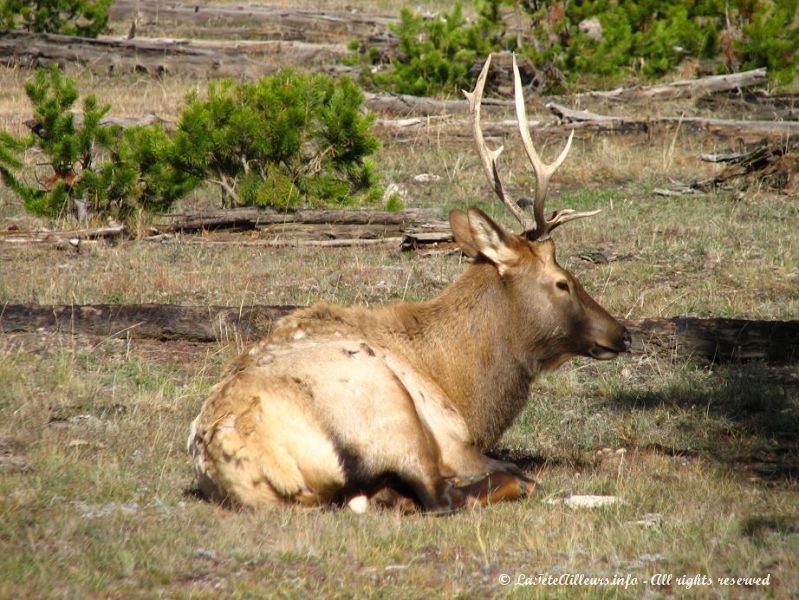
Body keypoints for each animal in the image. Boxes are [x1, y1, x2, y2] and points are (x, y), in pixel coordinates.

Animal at [188, 56, 632, 512]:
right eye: (563, 282)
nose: (623, 333)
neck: (467, 389)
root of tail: (245, 456)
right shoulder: (456, 440)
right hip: (386, 403)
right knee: (443, 494)